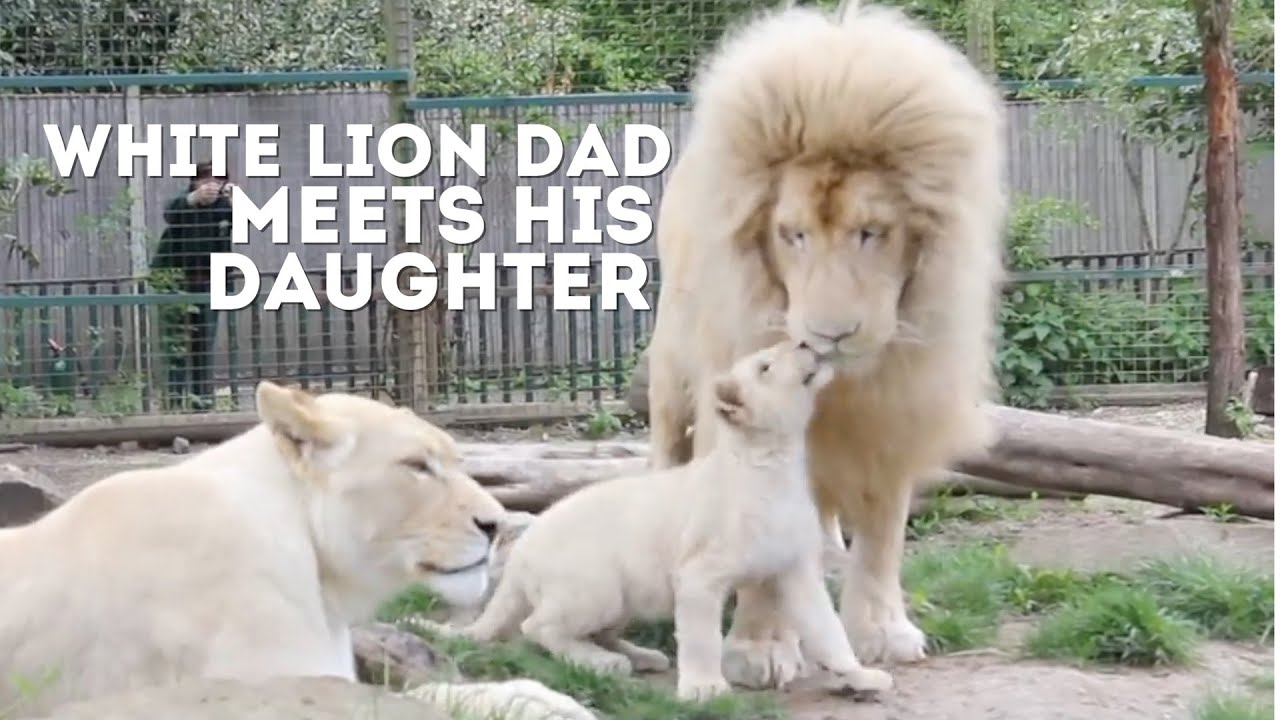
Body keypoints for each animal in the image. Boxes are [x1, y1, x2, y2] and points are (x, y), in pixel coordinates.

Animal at [0, 381, 594, 720]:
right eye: (416, 466)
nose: (496, 526)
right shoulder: (265, 684)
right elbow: (413, 700)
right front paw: (550, 706)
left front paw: (549, 699)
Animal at [447, 340, 894, 702]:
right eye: (765, 366)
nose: (805, 342)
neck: (776, 459)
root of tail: (522, 548)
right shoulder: (699, 575)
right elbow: (701, 638)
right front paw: (704, 689)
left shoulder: (795, 571)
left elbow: (828, 629)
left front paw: (860, 675)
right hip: (596, 589)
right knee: (537, 626)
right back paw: (601, 664)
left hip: (622, 599)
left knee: (594, 631)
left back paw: (641, 657)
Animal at [644, 0, 1008, 689]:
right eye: (792, 234)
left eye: (872, 232)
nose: (829, 335)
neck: (847, 390)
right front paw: (760, 648)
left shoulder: (892, 419)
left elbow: (883, 537)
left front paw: (883, 631)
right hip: (669, 383)